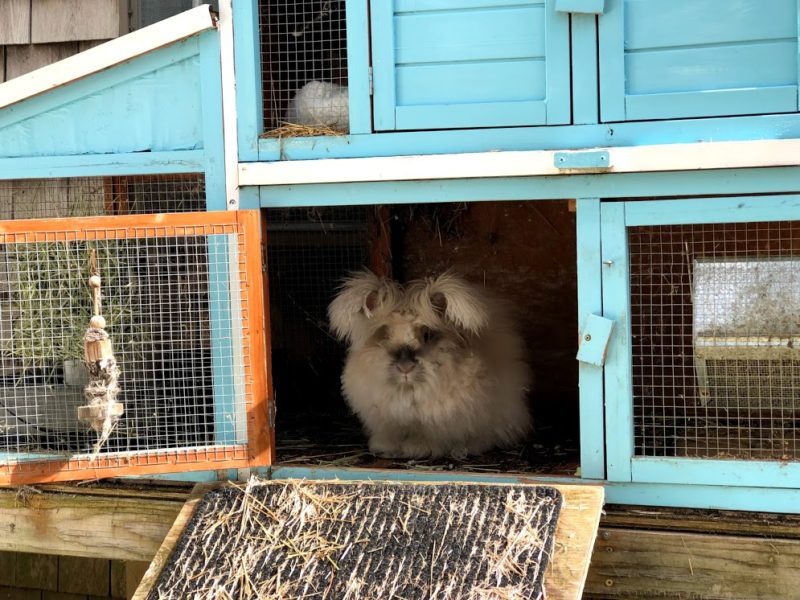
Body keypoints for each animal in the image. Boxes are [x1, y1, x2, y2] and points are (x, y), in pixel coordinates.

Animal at [328, 272, 536, 460]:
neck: (408, 391)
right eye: (385, 335)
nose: (405, 367)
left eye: (427, 335)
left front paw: (418, 448)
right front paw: (386, 448)